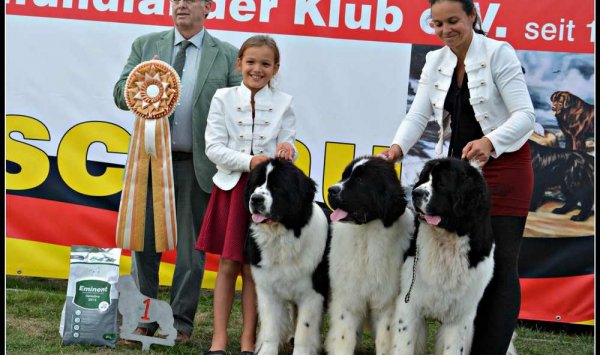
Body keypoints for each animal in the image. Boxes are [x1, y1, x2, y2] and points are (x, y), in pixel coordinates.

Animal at [244, 159, 330, 355]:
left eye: (277, 186)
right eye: (256, 184)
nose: (255, 198)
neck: (282, 236)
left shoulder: (312, 293)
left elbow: (304, 331)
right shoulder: (267, 288)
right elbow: (270, 326)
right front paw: (267, 351)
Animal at [326, 157, 414, 354]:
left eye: (360, 181)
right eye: (344, 176)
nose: (331, 190)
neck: (366, 237)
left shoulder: (385, 302)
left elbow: (383, 340)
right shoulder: (348, 298)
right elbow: (344, 339)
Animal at [392, 159, 494, 355]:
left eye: (441, 183)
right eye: (424, 178)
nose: (415, 193)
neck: (447, 240)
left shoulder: (459, 317)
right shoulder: (410, 304)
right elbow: (403, 345)